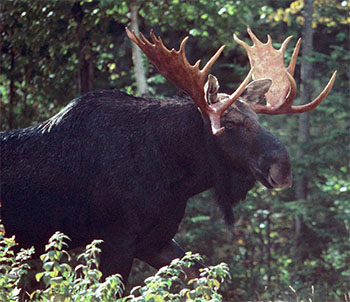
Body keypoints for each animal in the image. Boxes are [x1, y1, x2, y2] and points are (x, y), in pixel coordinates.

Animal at [0, 27, 336, 284]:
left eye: (257, 118)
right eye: (228, 123)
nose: (283, 167)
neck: (176, 179)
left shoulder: (155, 240)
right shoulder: (115, 237)